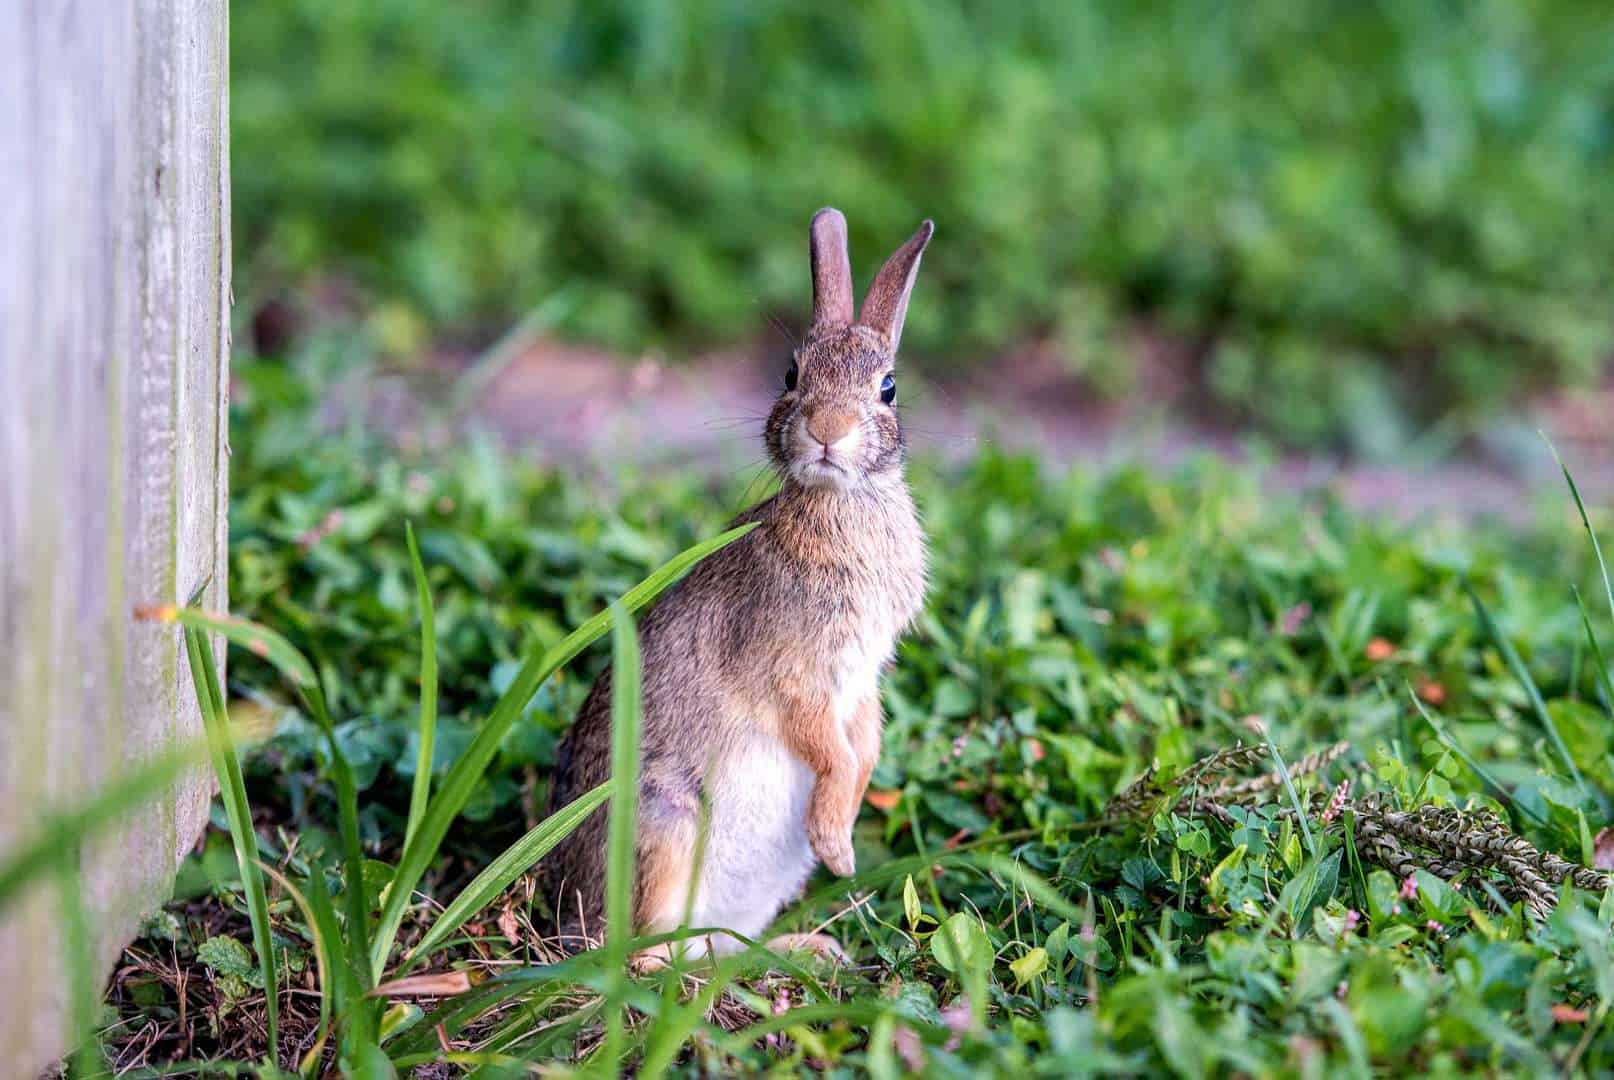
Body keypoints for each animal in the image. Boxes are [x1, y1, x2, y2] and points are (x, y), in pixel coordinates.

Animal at [545, 209, 936, 962]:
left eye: (889, 388)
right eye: (790, 374)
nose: (827, 430)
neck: (841, 503)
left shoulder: (863, 676)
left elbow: (864, 742)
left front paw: (842, 838)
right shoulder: (791, 671)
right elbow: (826, 746)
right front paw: (839, 846)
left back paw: (804, 950)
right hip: (665, 824)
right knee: (644, 958)